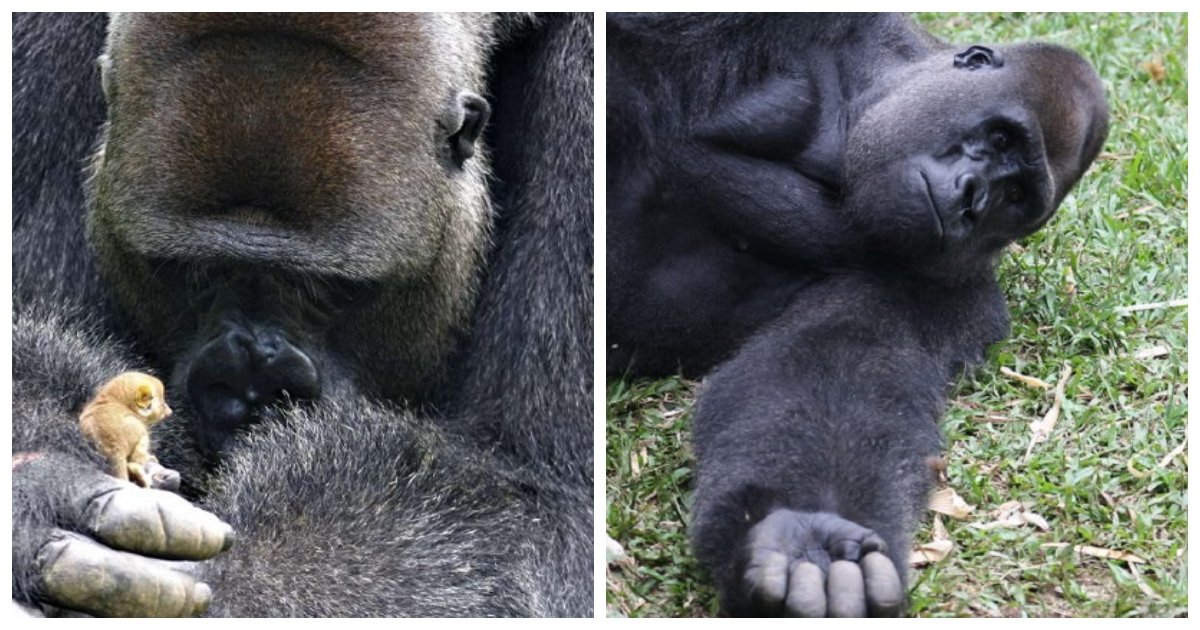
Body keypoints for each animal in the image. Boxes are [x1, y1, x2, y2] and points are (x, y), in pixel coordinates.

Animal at [609, 12, 1104, 614]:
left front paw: (806, 530)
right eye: (1000, 137)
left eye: (1014, 197)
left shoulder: (953, 291)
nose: (971, 198)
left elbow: (829, 366)